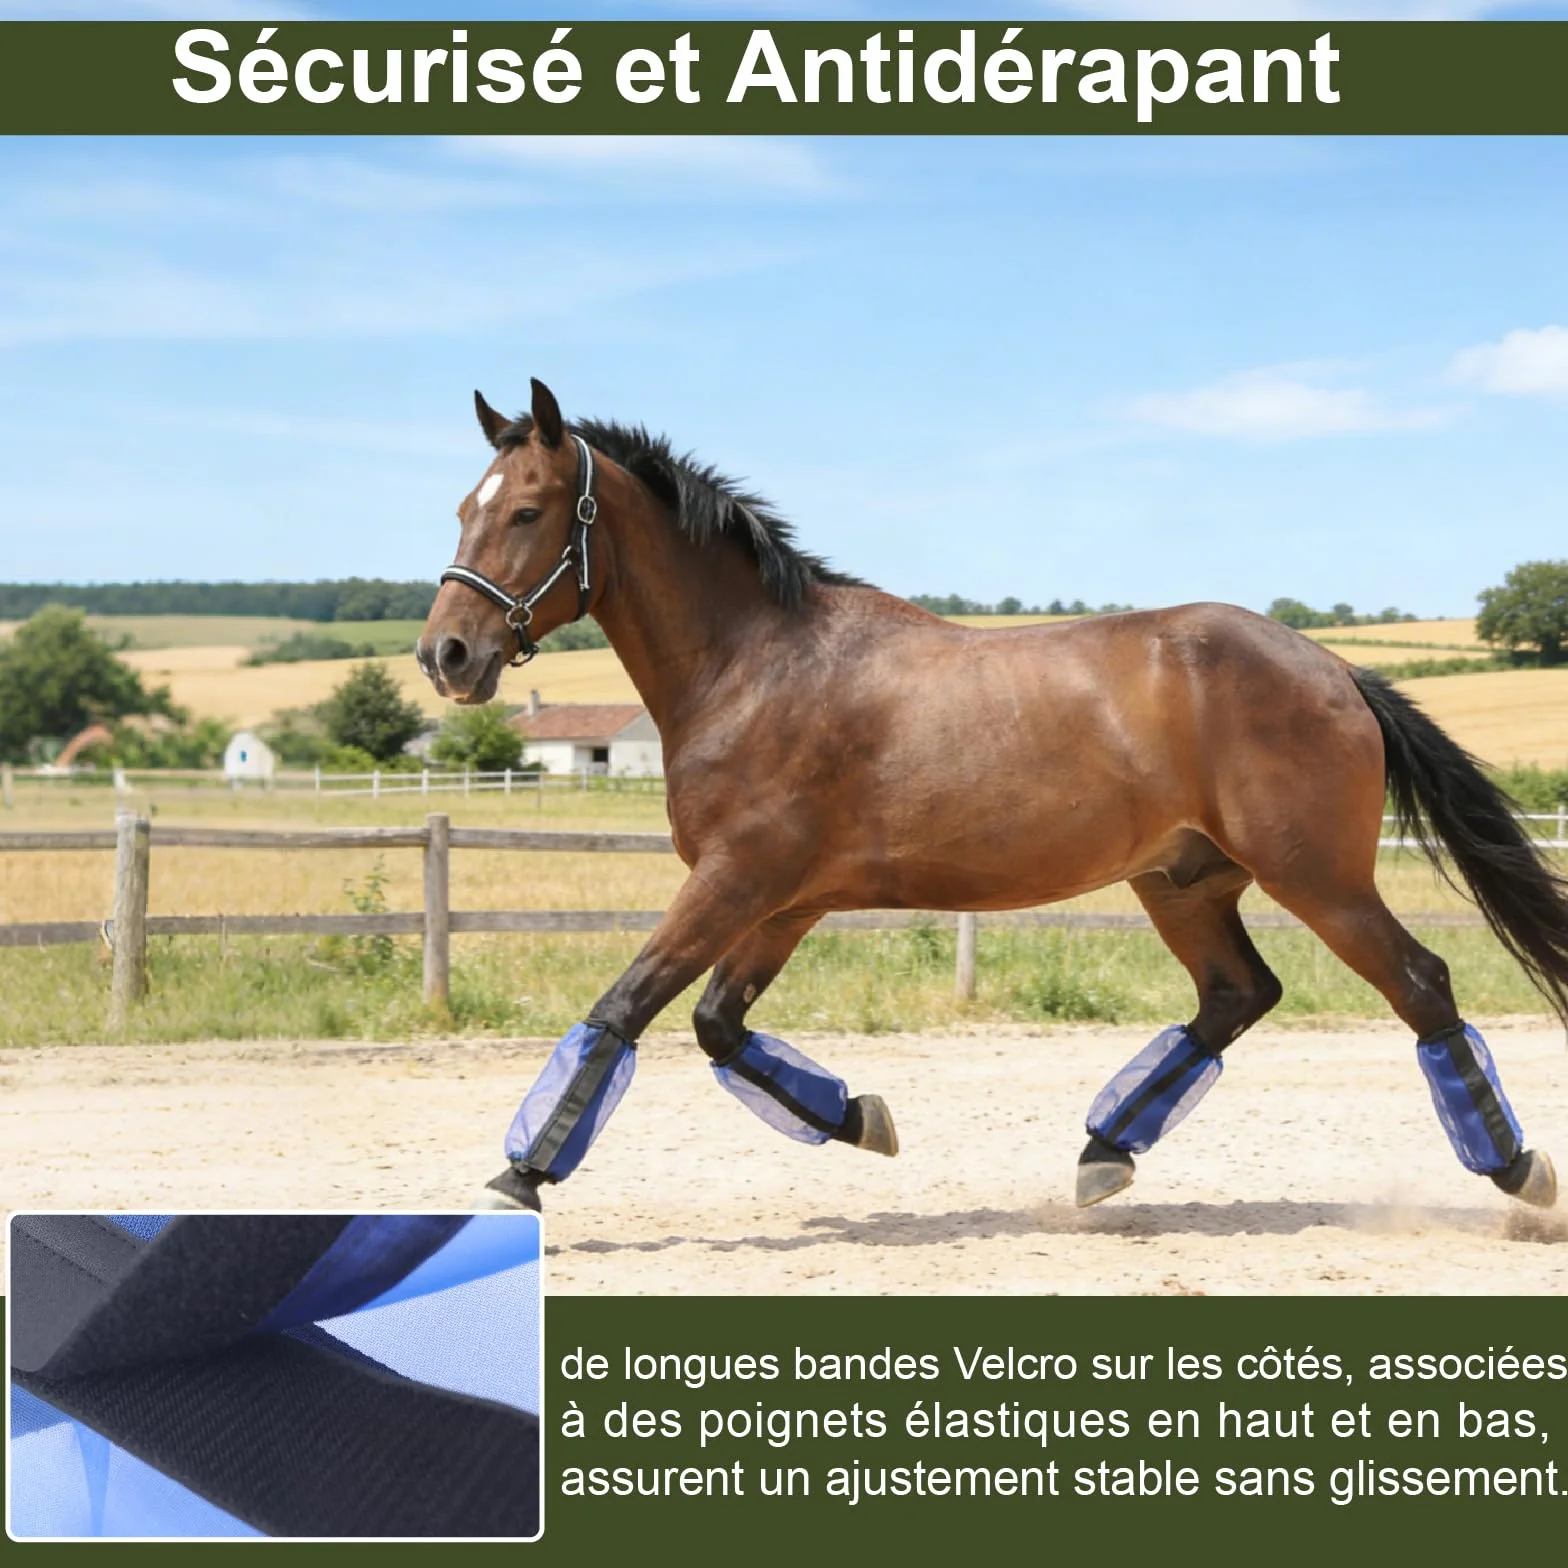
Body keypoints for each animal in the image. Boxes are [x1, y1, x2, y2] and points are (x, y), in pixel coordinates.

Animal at [417, 378, 1568, 1215]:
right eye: (464, 508)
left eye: (526, 510)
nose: (447, 655)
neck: (754, 665)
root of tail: (1333, 668)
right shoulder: (781, 901)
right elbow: (714, 1025)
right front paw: (863, 1117)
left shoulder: (736, 880)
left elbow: (624, 1008)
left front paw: (518, 1175)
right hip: (1184, 880)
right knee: (1236, 995)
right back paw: (1103, 1154)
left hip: (1316, 876)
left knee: (1418, 983)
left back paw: (1519, 1173)